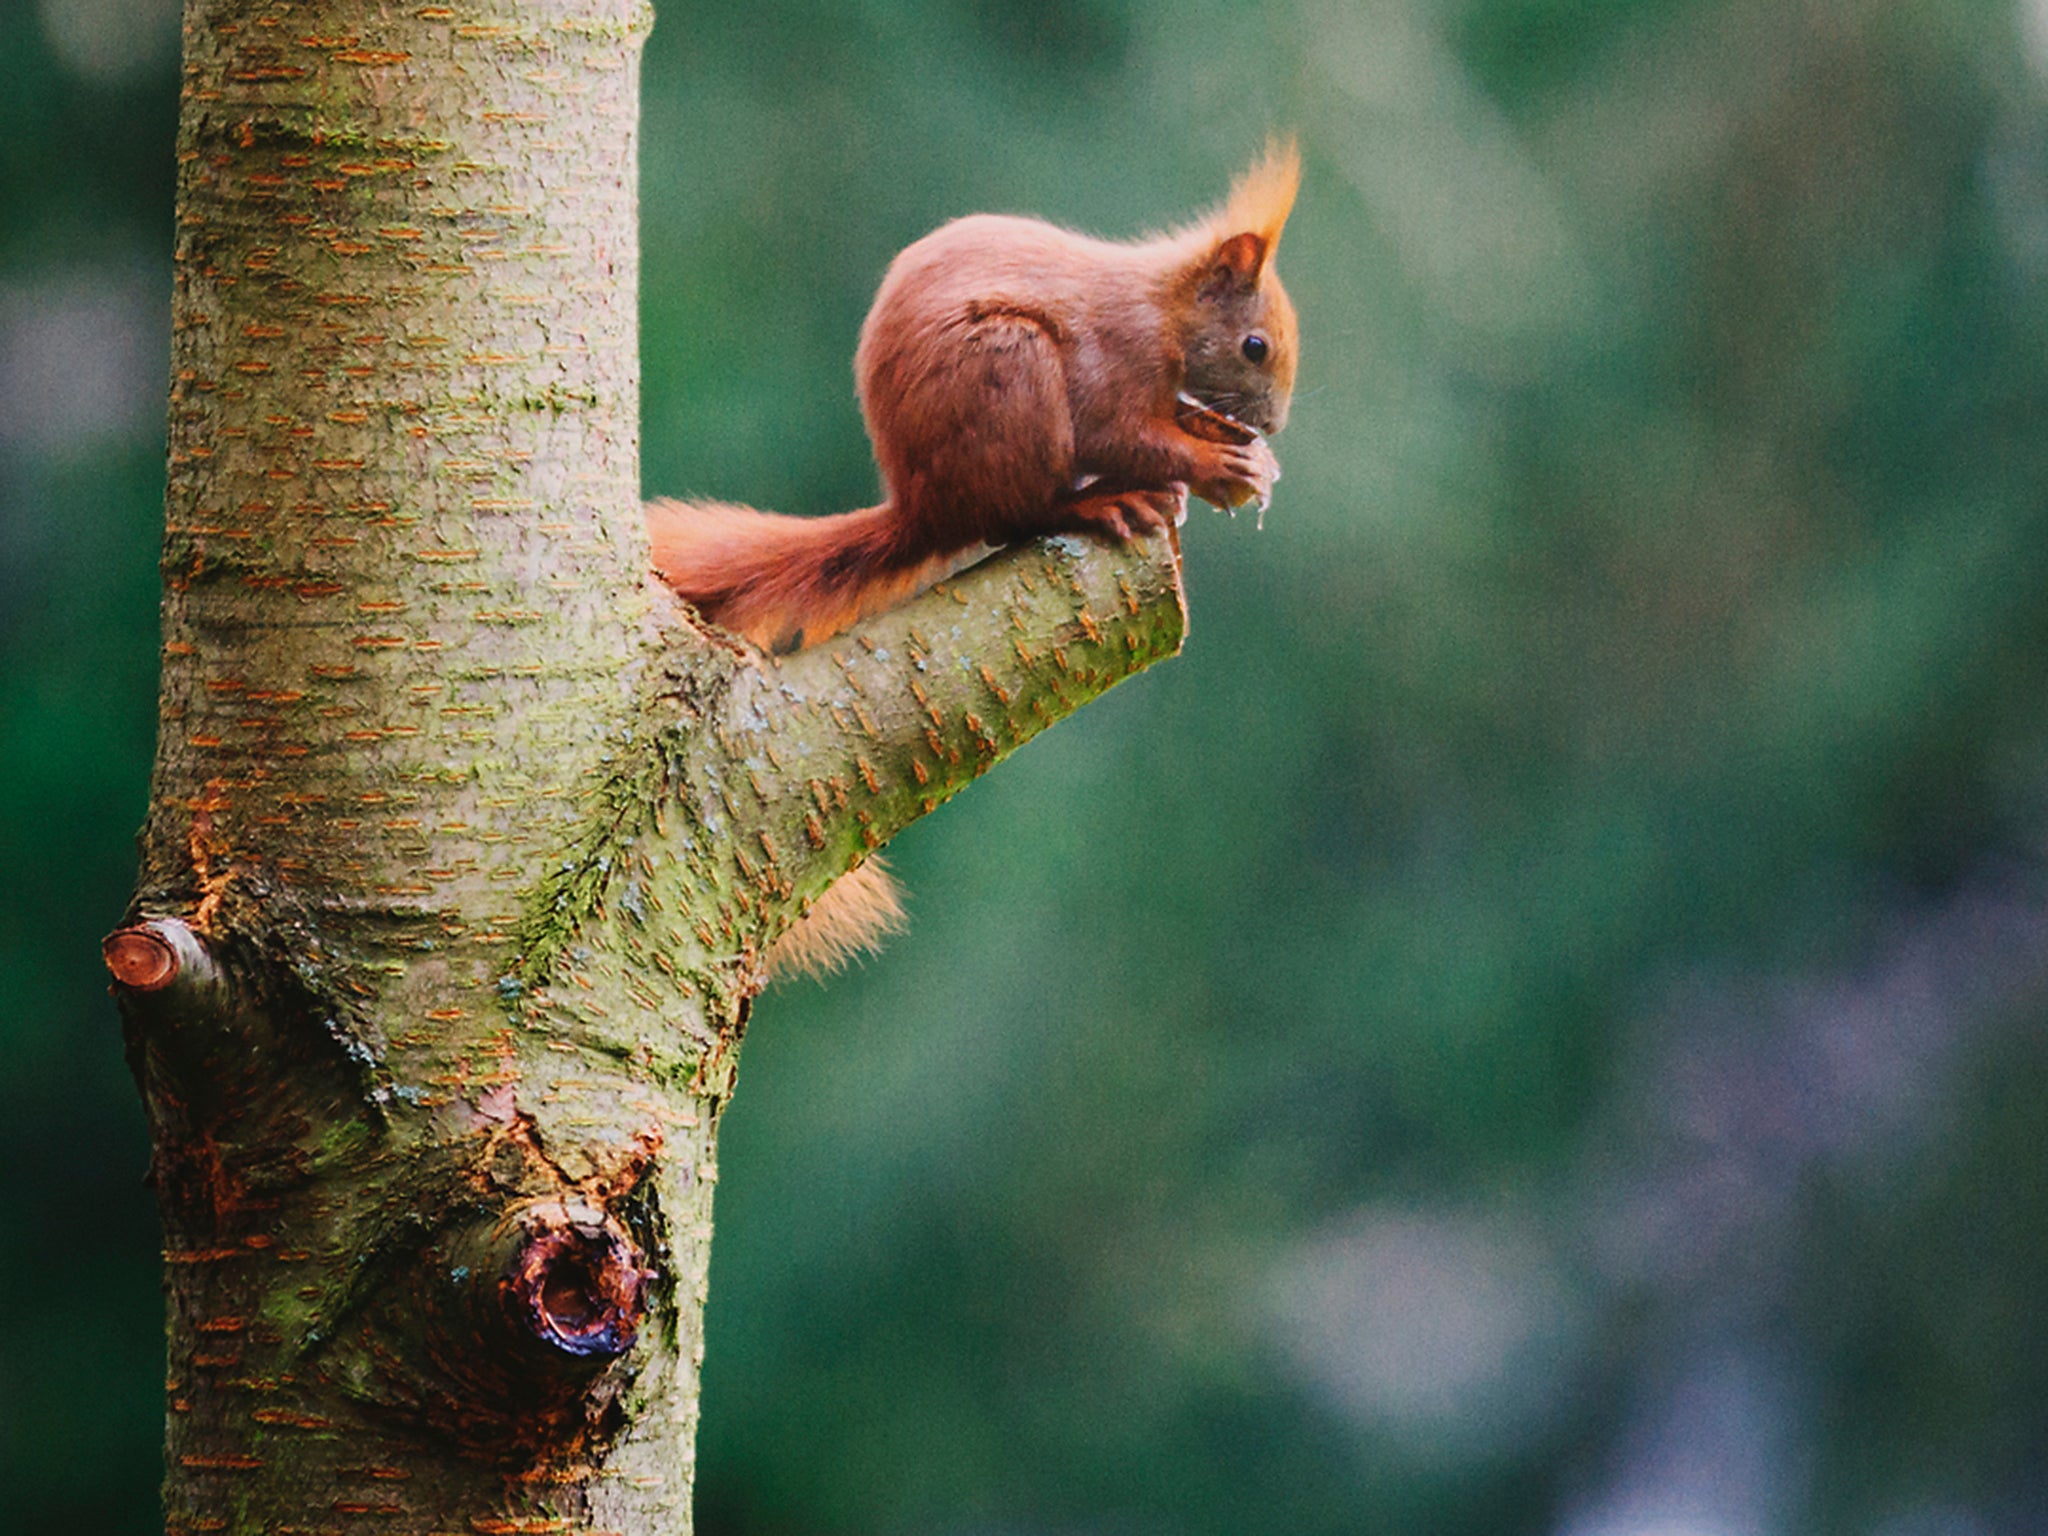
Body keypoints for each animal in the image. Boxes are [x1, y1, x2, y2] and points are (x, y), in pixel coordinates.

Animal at [647, 147, 1302, 987]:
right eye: (1255, 345)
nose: (1274, 422)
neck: (1162, 310)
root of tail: (927, 508)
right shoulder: (1111, 362)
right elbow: (1124, 433)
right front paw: (1216, 466)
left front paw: (1237, 452)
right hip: (1010, 373)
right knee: (1022, 514)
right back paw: (1101, 504)